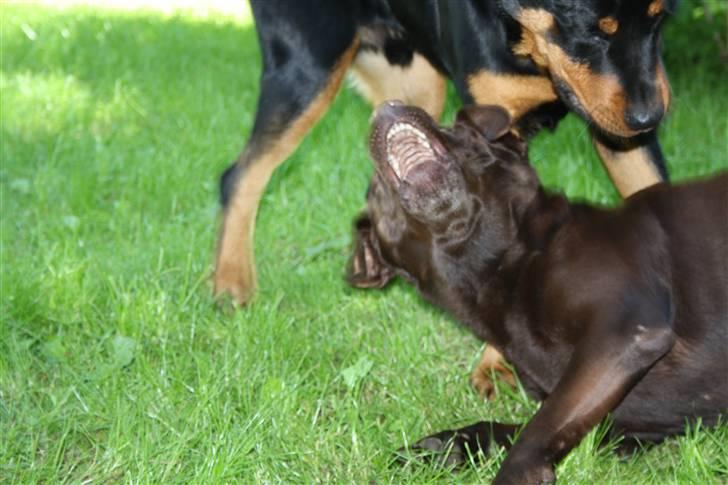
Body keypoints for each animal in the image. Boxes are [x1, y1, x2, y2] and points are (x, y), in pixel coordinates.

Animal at [216, 0, 676, 306]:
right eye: (594, 30)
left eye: (661, 18)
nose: (651, 116)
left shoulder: (619, 126)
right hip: (306, 69)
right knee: (240, 175)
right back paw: (231, 283)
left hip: (411, 85)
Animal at [346, 100, 728, 482]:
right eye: (375, 189)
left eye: (451, 127)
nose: (387, 105)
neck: (491, 267)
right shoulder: (621, 429)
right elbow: (512, 430)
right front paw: (441, 448)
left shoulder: (625, 330)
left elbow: (533, 433)